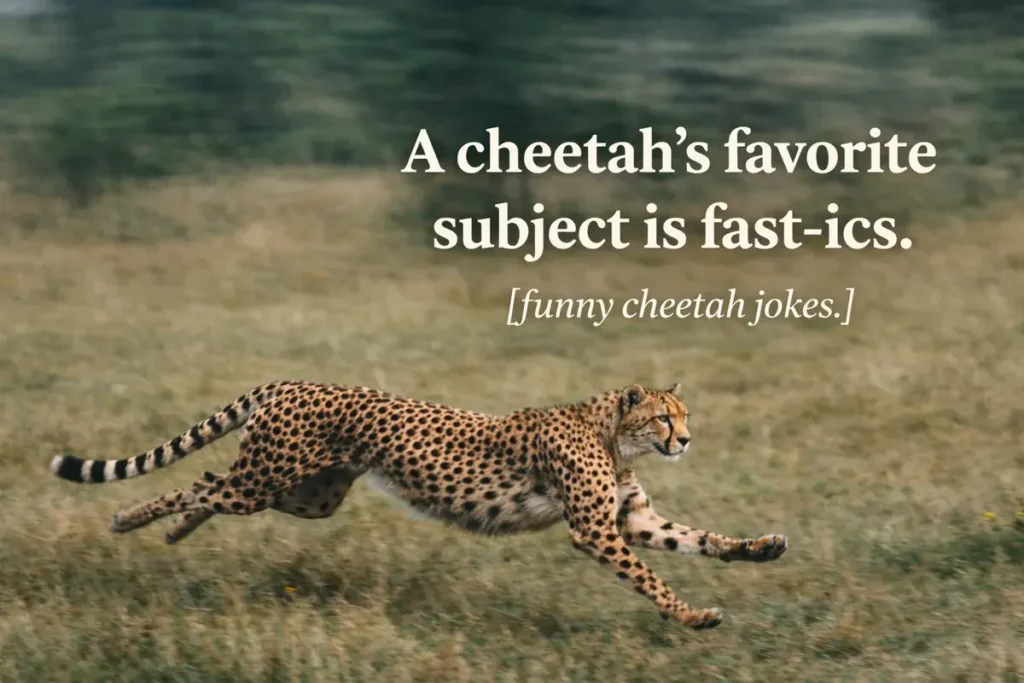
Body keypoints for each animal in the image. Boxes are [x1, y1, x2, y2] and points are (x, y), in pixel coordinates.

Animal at [50, 380, 787, 629]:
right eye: (664, 418)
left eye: (684, 415)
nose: (686, 440)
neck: (611, 429)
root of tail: (293, 381)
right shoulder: (595, 530)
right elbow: (652, 578)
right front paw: (690, 616)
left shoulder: (629, 518)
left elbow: (696, 537)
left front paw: (760, 548)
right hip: (267, 478)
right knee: (199, 482)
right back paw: (139, 521)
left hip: (307, 495)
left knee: (203, 478)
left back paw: (168, 528)